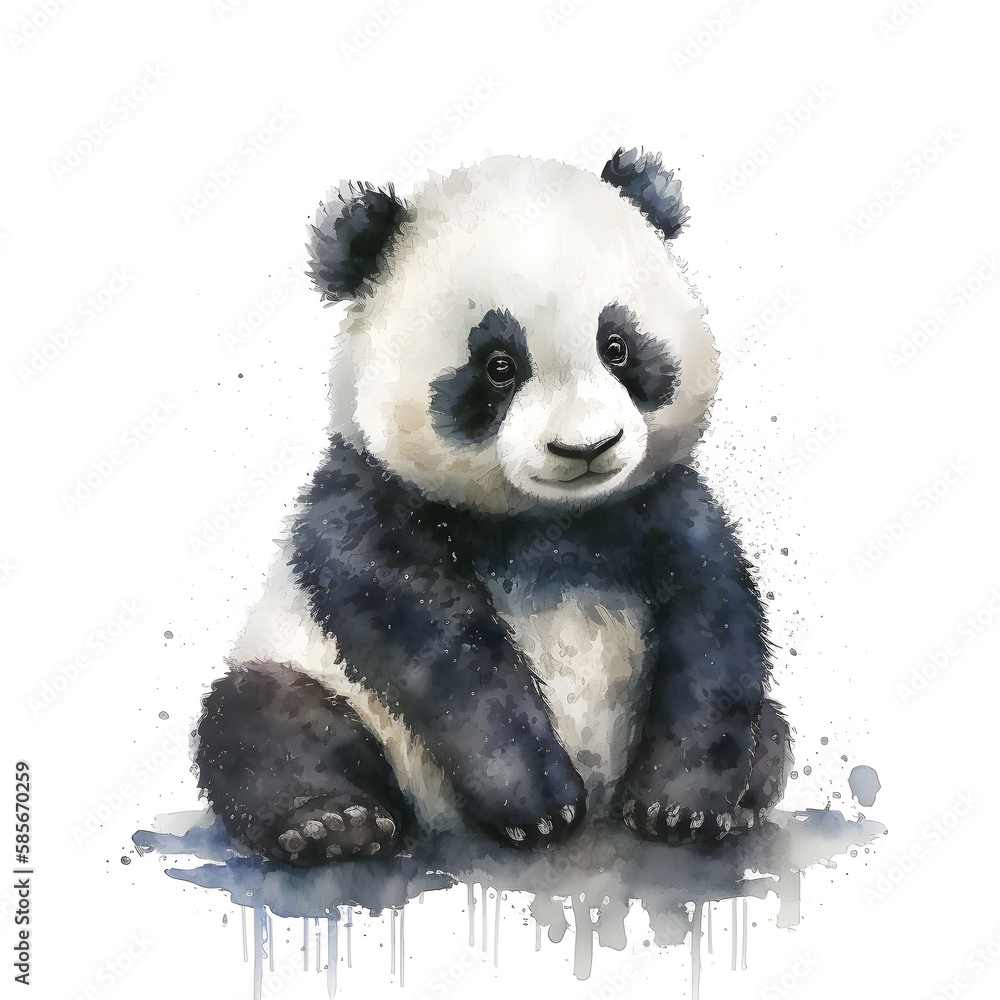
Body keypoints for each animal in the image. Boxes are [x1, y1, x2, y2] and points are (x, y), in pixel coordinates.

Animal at [196, 148, 793, 866]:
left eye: (618, 346)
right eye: (498, 365)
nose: (587, 447)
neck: (550, 518)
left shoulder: (659, 504)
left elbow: (714, 622)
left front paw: (678, 809)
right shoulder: (368, 500)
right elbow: (433, 638)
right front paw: (536, 805)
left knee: (771, 725)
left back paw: (743, 803)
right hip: (314, 678)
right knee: (261, 725)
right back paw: (332, 823)